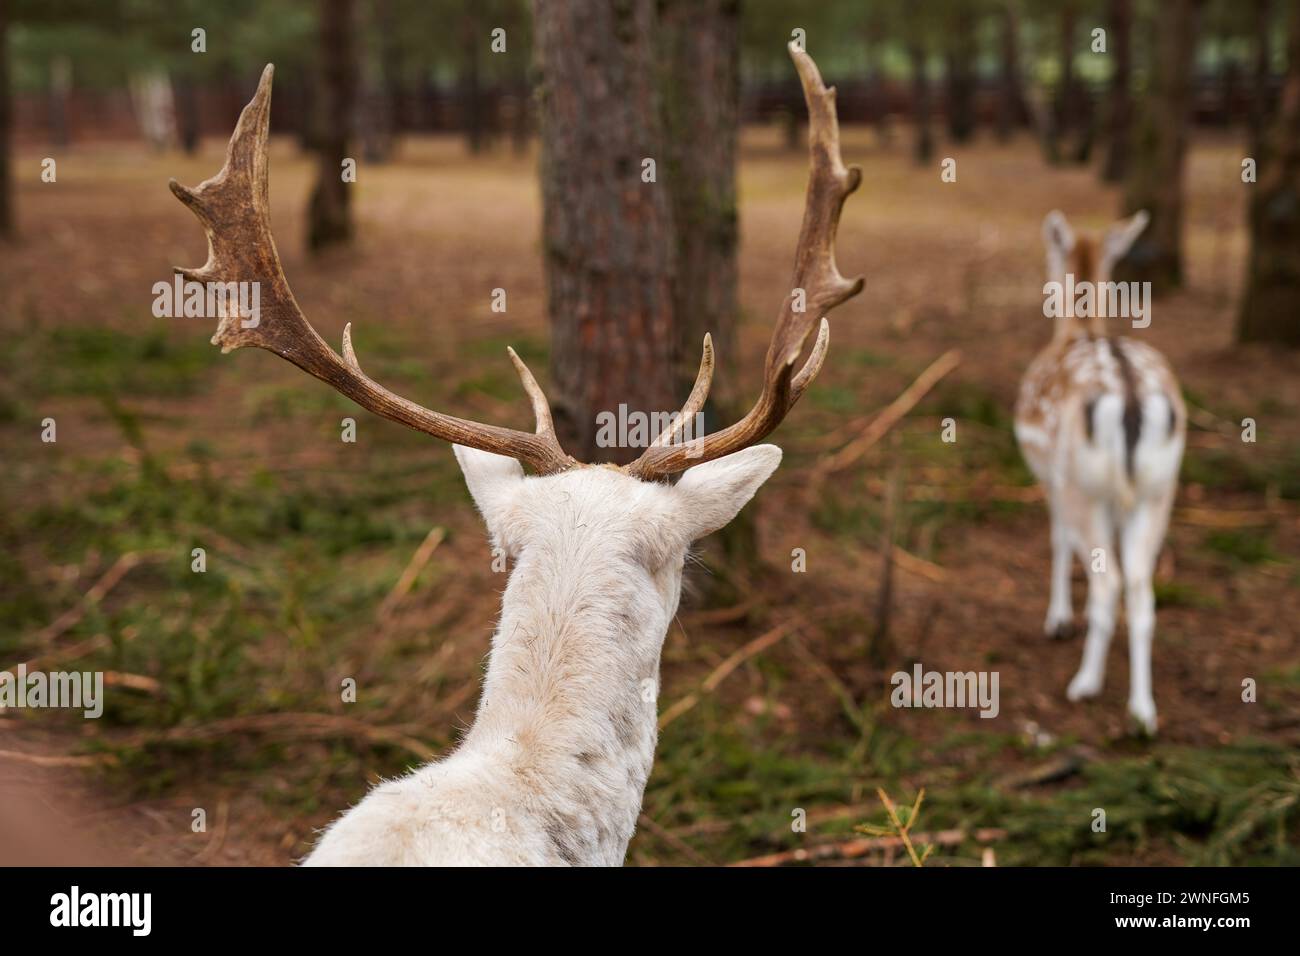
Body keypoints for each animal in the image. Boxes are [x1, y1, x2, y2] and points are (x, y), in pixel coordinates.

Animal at [1013, 210, 1190, 733]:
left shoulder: (1051, 478)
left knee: (1109, 581)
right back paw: (1143, 711)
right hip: (1158, 490)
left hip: (1084, 487)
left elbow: (1056, 539)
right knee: (1142, 588)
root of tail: (1129, 396)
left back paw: (1085, 684)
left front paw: (1057, 621)